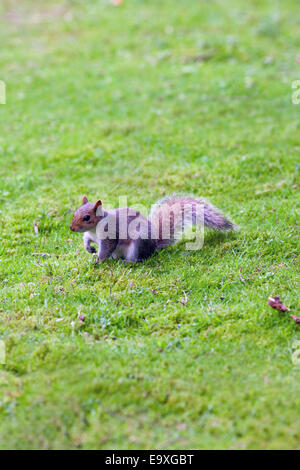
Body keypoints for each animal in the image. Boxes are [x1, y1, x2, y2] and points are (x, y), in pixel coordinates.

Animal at [70, 194, 237, 262]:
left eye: (87, 218)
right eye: (75, 212)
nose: (71, 228)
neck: (94, 229)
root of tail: (154, 246)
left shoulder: (109, 234)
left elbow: (106, 248)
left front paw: (98, 261)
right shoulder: (91, 235)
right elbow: (86, 239)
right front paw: (89, 249)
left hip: (138, 243)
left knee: (138, 258)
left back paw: (128, 262)